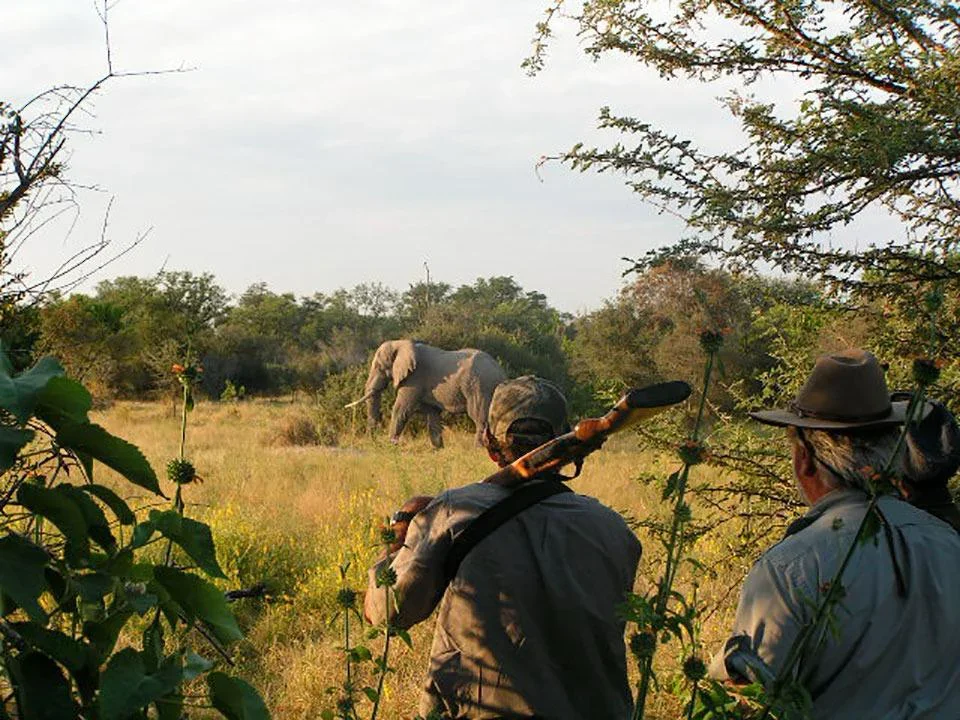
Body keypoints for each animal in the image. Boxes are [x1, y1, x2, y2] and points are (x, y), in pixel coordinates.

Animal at [347, 340, 507, 449]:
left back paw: (478, 449)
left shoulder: (414, 378)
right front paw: (438, 450)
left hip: (478, 386)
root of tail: (500, 372)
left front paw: (390, 446)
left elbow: (400, 409)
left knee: (479, 417)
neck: (401, 343)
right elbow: (432, 415)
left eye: (379, 367)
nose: (373, 443)